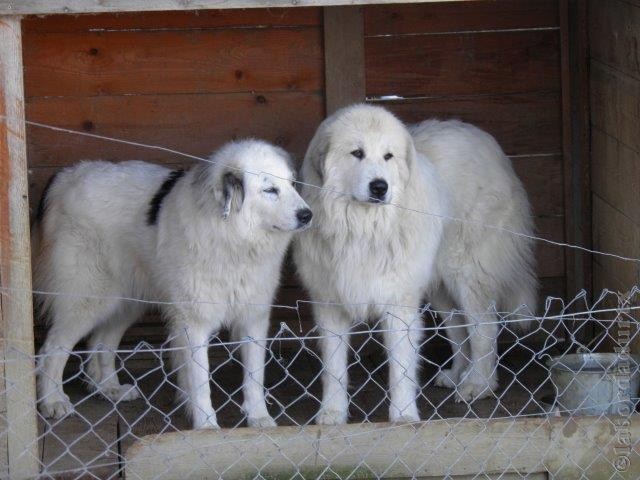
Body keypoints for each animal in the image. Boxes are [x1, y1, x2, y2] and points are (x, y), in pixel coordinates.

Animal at [33, 139, 312, 428]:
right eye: (270, 190)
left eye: (292, 184)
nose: (307, 215)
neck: (232, 238)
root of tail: (66, 176)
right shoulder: (194, 322)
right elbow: (200, 382)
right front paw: (207, 426)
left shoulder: (253, 317)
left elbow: (255, 376)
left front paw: (259, 418)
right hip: (87, 299)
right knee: (51, 350)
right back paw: (53, 401)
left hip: (125, 302)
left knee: (102, 342)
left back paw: (109, 388)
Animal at [296, 105, 536, 424]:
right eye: (357, 153)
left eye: (388, 156)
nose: (379, 187)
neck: (363, 229)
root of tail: (486, 140)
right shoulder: (330, 303)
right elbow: (333, 369)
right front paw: (332, 413)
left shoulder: (399, 303)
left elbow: (401, 369)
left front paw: (403, 417)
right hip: (440, 285)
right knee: (458, 328)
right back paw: (458, 374)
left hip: (465, 272)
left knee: (483, 327)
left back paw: (479, 384)